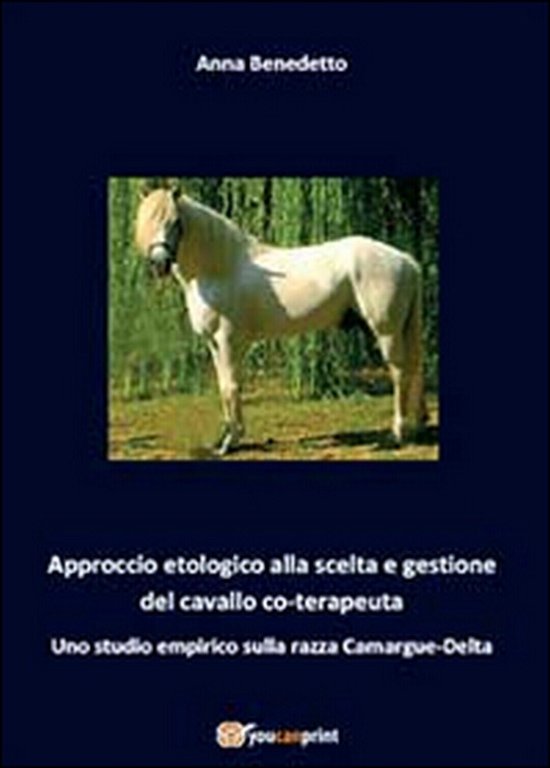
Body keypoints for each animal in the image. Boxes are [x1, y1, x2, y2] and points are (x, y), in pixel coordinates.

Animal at [135, 185, 428, 455]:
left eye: (175, 222)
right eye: (148, 222)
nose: (159, 263)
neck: (220, 267)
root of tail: (406, 260)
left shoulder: (228, 340)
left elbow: (231, 386)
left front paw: (231, 441)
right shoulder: (214, 343)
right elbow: (223, 386)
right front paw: (225, 438)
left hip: (386, 331)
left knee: (400, 373)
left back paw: (397, 434)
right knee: (415, 368)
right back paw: (418, 426)